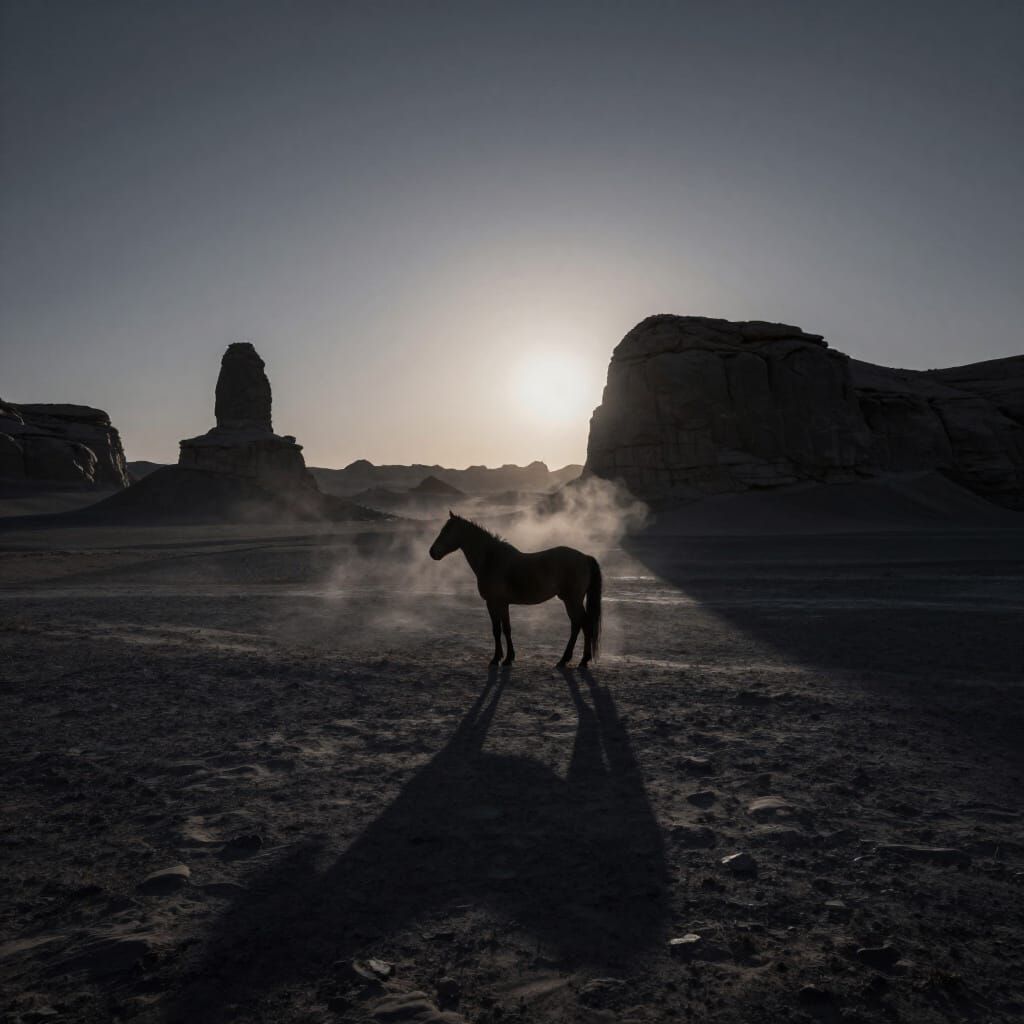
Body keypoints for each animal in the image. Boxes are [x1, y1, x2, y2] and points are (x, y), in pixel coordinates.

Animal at [428, 511, 602, 667]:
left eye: (447, 531)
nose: (432, 552)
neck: (492, 560)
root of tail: (585, 557)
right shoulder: (501, 604)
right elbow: (504, 629)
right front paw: (507, 657)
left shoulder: (494, 603)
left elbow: (499, 630)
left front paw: (498, 659)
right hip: (570, 601)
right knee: (578, 625)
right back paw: (569, 660)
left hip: (572, 600)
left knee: (584, 624)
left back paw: (579, 660)